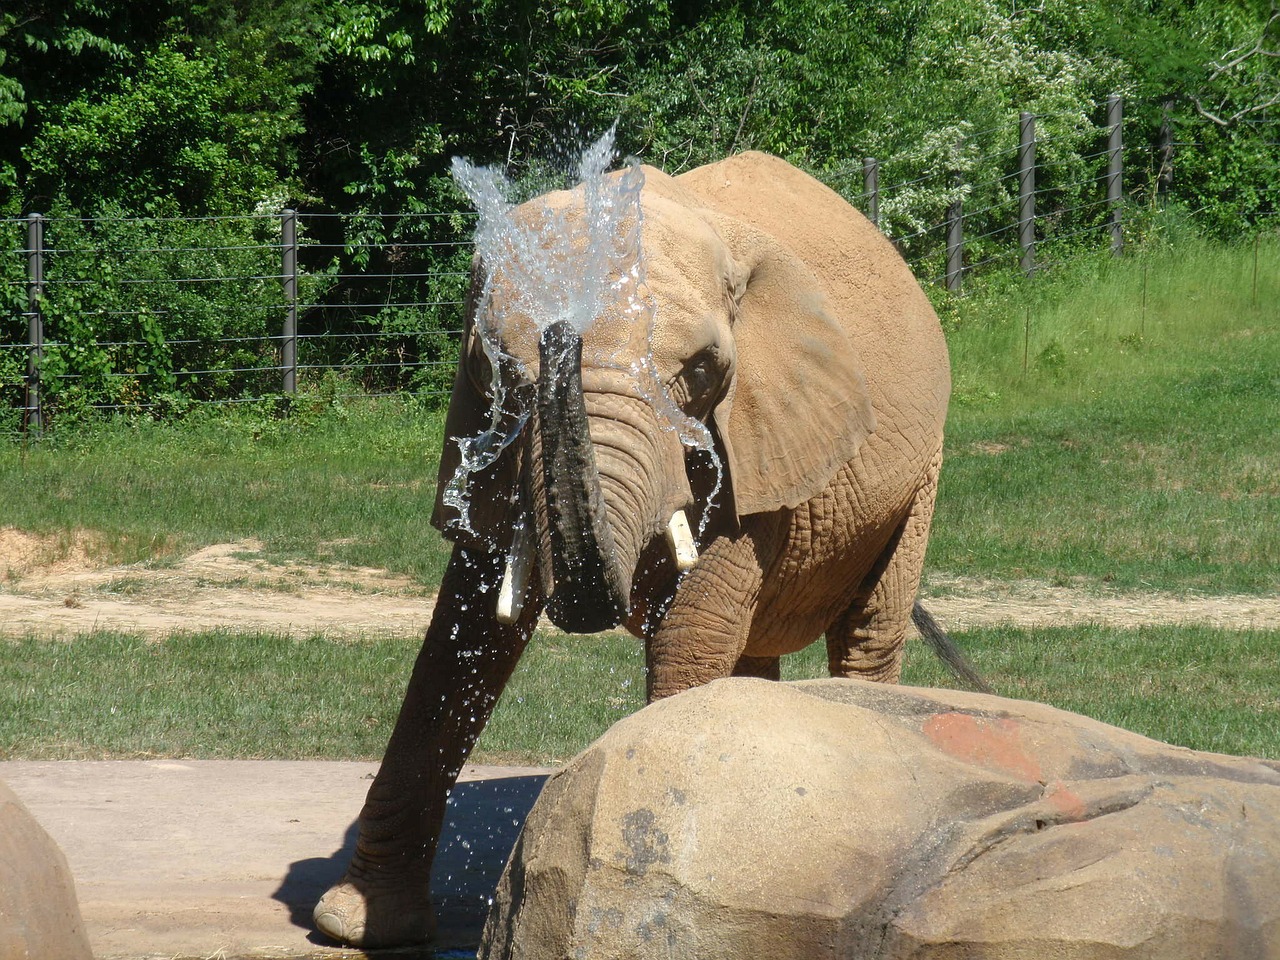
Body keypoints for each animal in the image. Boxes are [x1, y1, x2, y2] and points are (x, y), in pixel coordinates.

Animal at [312, 150, 962, 947]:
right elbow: (459, 640)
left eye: (702, 370)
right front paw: (356, 926)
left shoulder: (754, 431)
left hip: (922, 470)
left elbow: (691, 628)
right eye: (496, 372)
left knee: (870, 625)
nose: (563, 328)